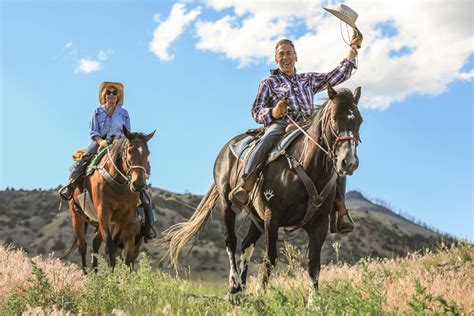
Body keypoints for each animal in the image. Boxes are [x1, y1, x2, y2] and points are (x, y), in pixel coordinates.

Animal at [67, 126, 156, 272]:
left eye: (147, 153)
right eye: (129, 151)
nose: (138, 184)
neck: (118, 183)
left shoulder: (125, 218)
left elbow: (116, 248)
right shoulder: (103, 212)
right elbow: (109, 246)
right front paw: (112, 275)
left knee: (96, 243)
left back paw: (95, 272)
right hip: (77, 215)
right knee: (82, 245)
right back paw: (86, 273)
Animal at [163, 84, 362, 294]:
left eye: (359, 121)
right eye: (334, 119)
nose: (348, 162)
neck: (306, 167)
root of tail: (226, 149)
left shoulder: (319, 224)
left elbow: (314, 266)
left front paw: (313, 301)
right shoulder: (272, 217)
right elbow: (269, 259)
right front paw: (262, 295)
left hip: (256, 216)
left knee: (246, 245)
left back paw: (241, 291)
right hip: (228, 204)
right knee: (231, 241)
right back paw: (233, 284)